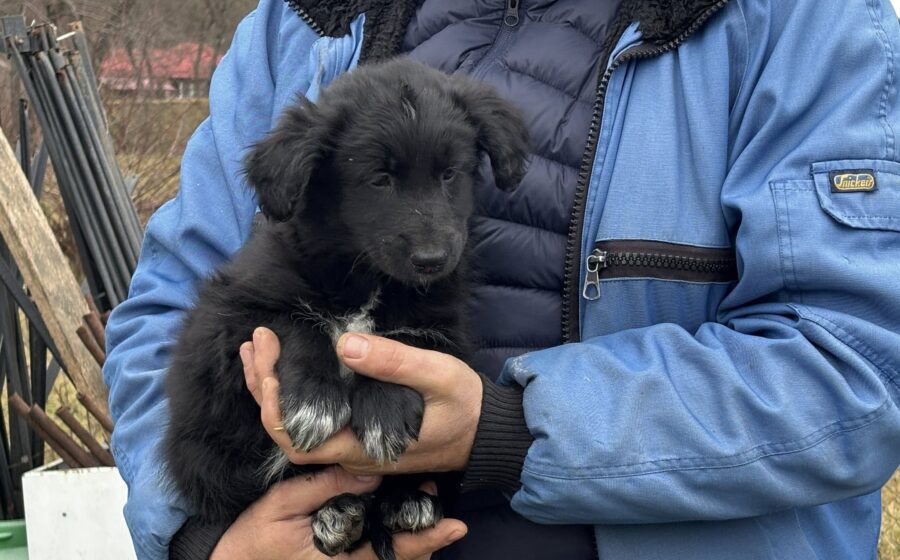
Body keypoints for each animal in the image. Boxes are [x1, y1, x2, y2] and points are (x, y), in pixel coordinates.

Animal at [163, 57, 530, 559]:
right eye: (379, 179)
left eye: (449, 174)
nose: (432, 260)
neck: (367, 277)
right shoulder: (232, 315)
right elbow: (297, 323)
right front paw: (314, 401)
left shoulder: (443, 324)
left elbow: (404, 336)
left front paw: (384, 413)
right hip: (207, 457)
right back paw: (336, 513)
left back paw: (405, 501)